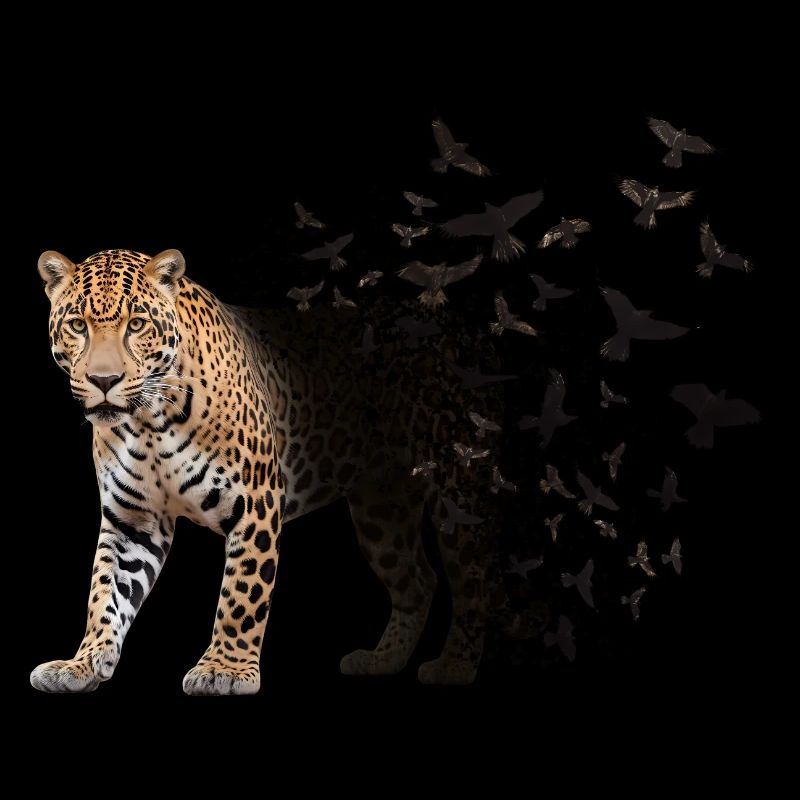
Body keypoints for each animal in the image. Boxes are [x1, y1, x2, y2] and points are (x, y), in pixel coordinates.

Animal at [30, 248, 518, 695]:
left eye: (136, 325)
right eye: (77, 326)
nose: (104, 381)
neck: (148, 423)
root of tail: (470, 331)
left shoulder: (255, 502)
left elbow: (241, 595)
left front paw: (224, 670)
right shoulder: (133, 520)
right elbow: (105, 594)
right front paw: (82, 664)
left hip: (459, 491)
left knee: (477, 582)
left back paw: (454, 665)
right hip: (382, 512)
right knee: (418, 579)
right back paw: (382, 660)